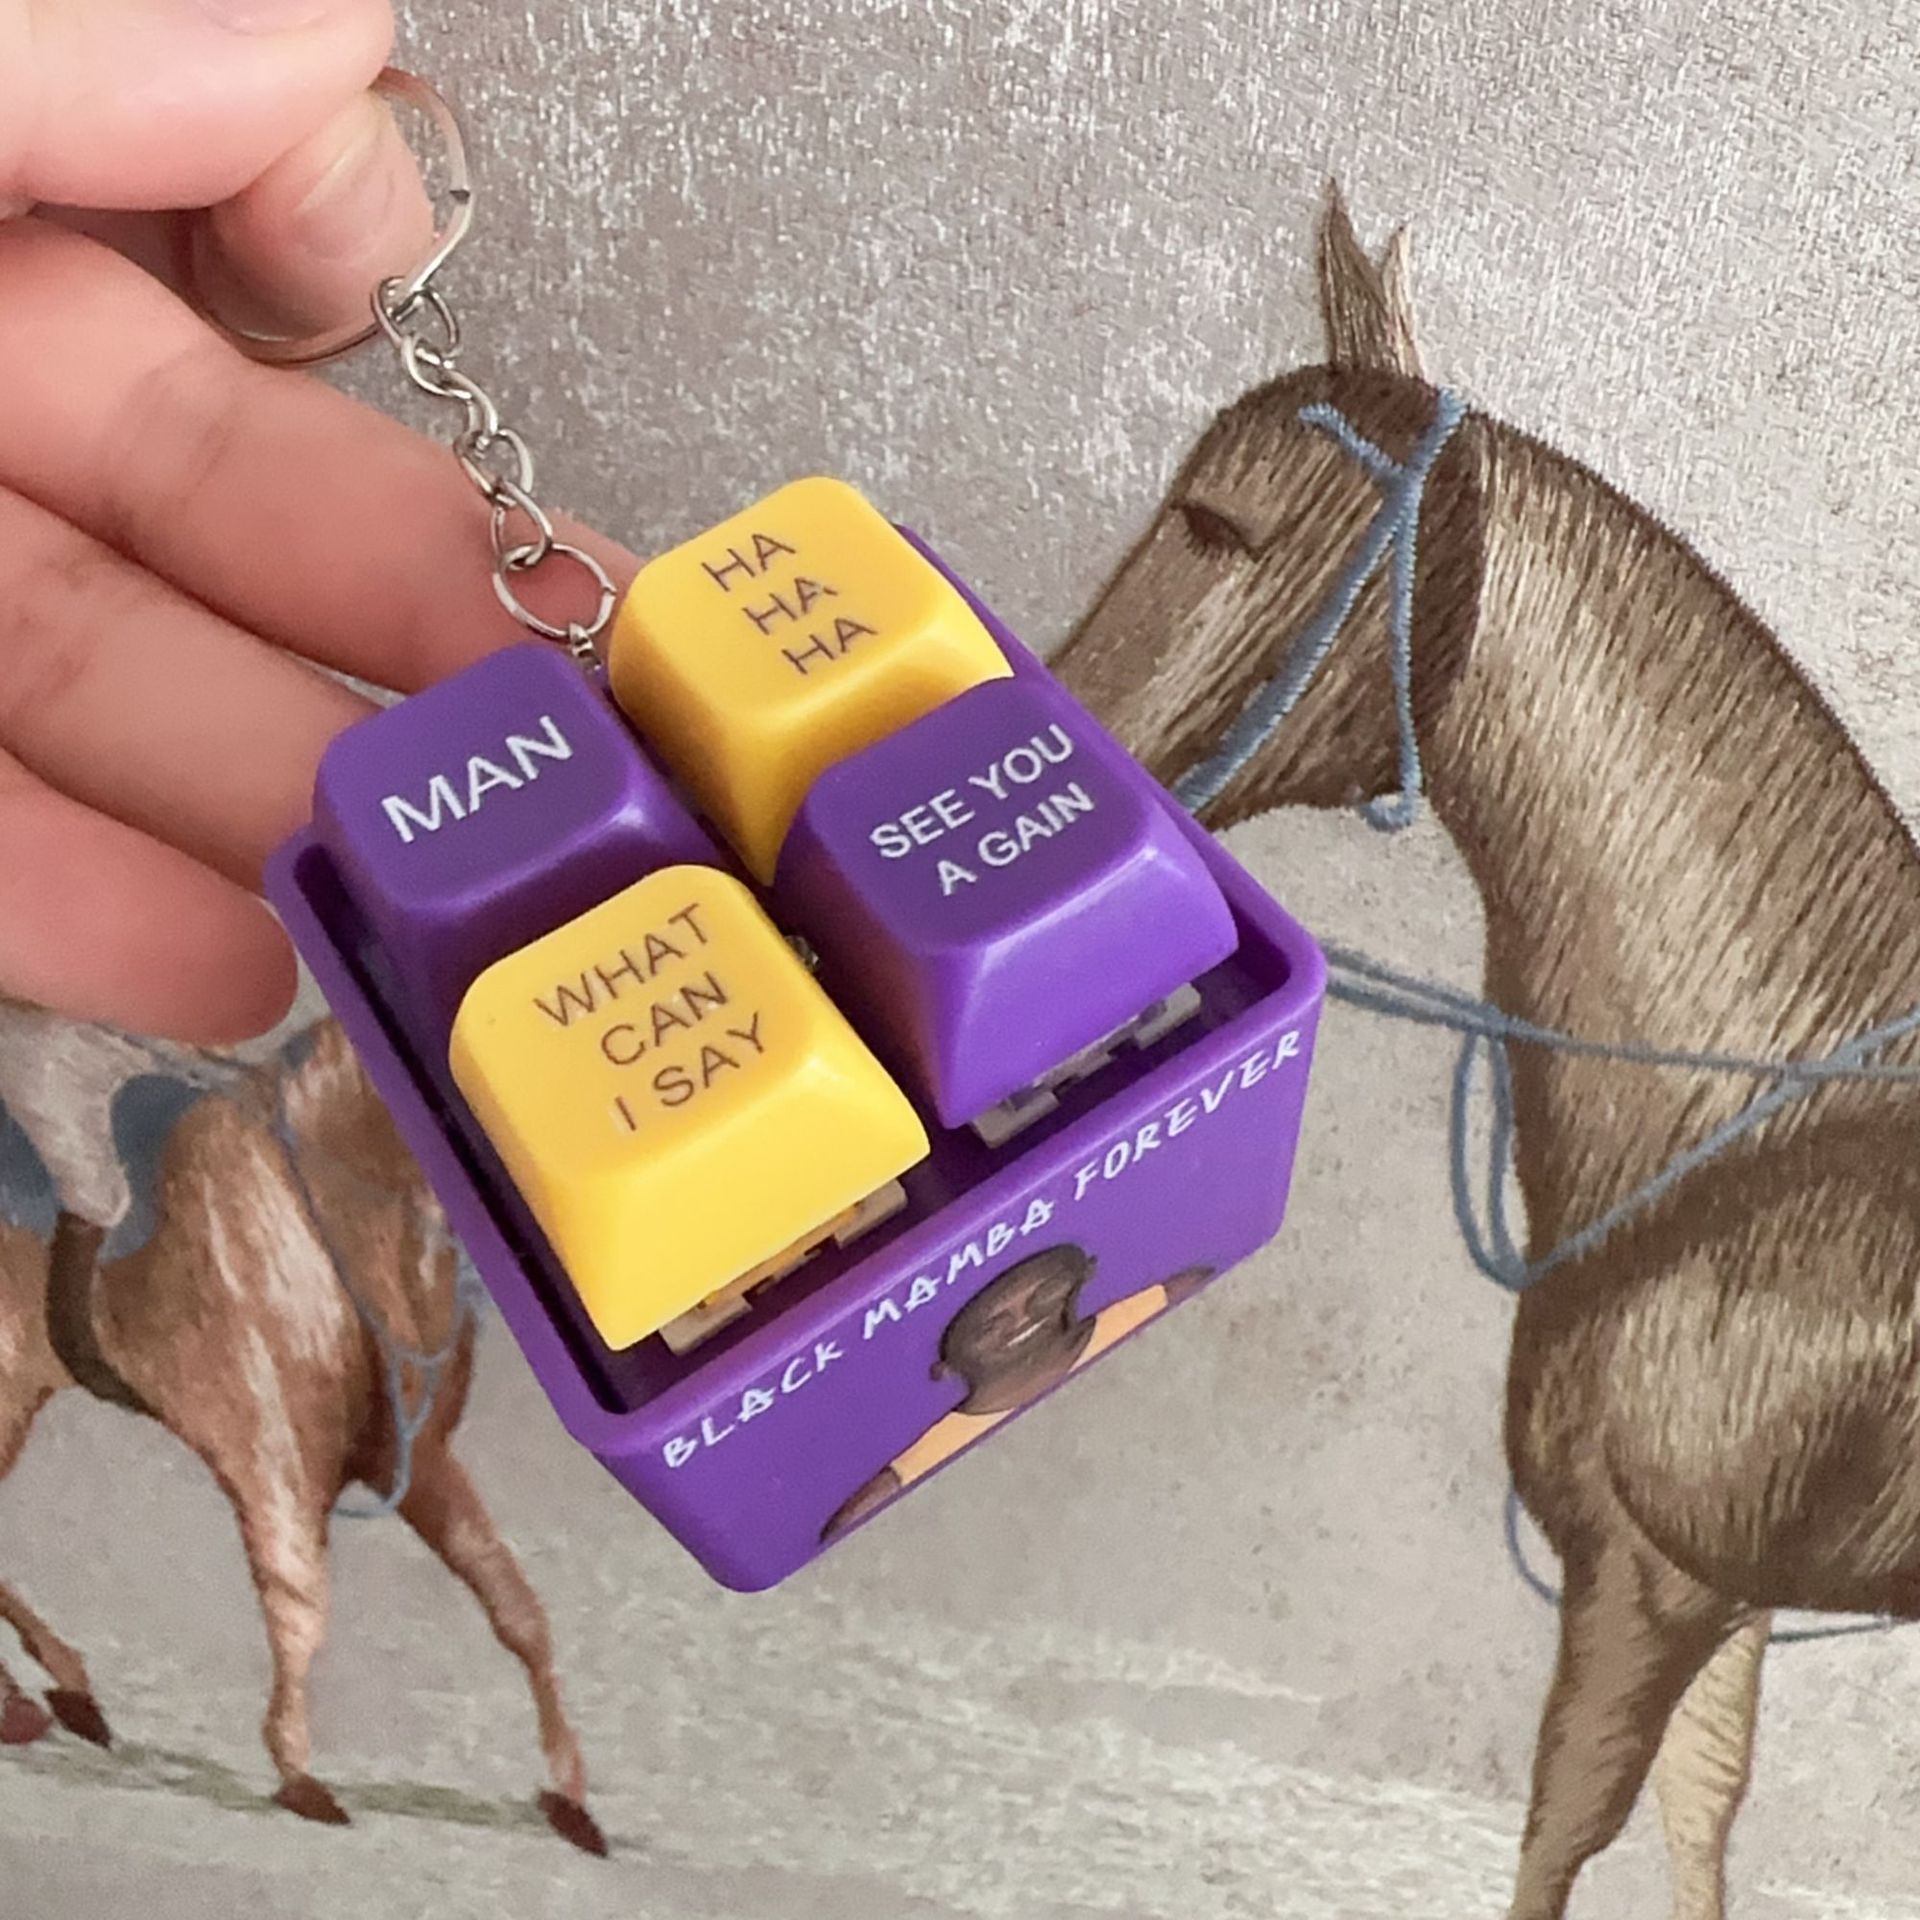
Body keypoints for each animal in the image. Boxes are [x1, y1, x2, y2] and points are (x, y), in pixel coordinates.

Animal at [0, 1012, 606, 1854]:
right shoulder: (273, 1470)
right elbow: (301, 1604)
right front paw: (298, 1774)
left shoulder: (417, 1467)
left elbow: (515, 1609)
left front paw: (570, 1800)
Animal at [1052, 186, 1920, 1920]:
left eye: (1220, 526)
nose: (1048, 733)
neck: (1759, 1134)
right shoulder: (1718, 1599)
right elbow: (1701, 1825)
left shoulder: (1645, 1587)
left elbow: (1561, 1836)